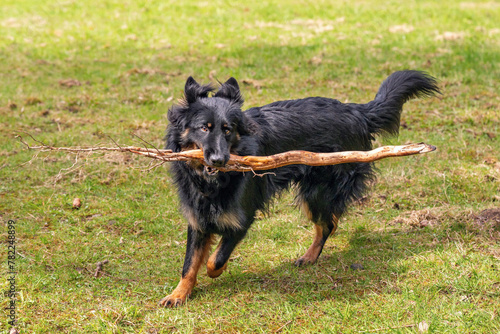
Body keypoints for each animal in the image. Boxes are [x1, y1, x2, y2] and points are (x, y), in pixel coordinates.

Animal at [162, 71, 440, 308]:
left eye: (228, 130)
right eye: (204, 128)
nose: (219, 160)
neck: (212, 181)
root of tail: (357, 111)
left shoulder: (241, 219)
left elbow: (215, 258)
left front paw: (214, 271)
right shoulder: (198, 219)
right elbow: (189, 263)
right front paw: (178, 295)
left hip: (317, 192)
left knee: (328, 224)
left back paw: (310, 256)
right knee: (331, 222)